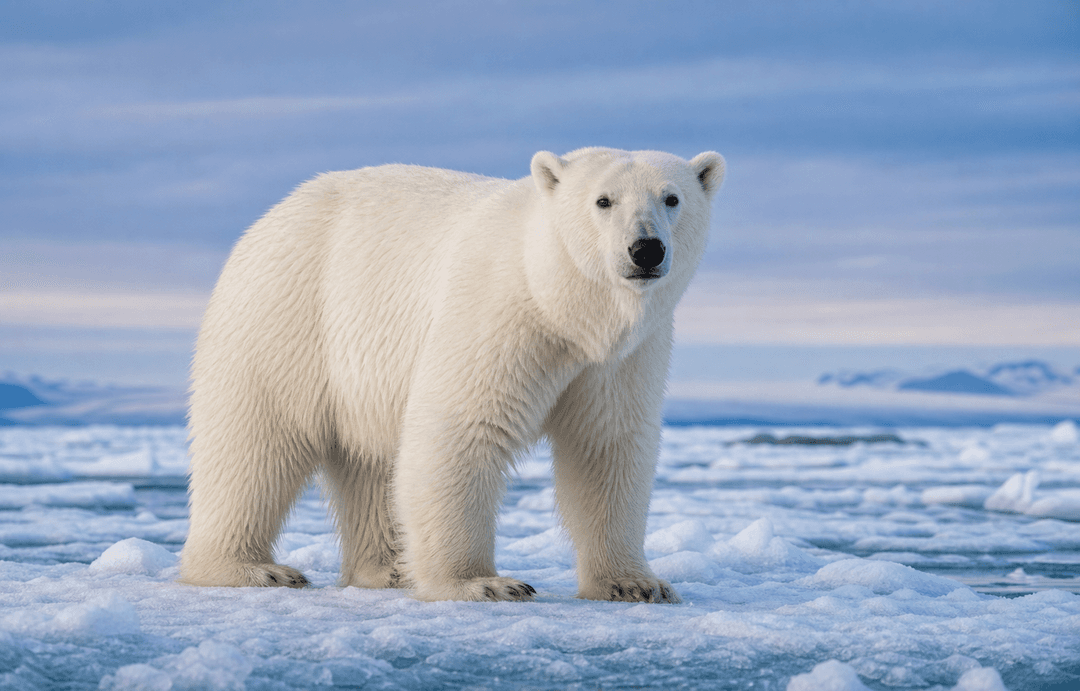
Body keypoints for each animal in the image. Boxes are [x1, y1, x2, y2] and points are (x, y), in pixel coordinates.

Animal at [181, 147, 725, 602]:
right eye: (603, 200)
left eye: (672, 198)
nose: (646, 249)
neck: (563, 305)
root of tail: (271, 215)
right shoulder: (497, 315)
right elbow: (462, 429)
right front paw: (484, 583)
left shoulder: (622, 358)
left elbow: (607, 447)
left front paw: (637, 584)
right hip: (290, 315)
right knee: (257, 442)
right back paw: (253, 569)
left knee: (370, 461)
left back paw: (389, 570)